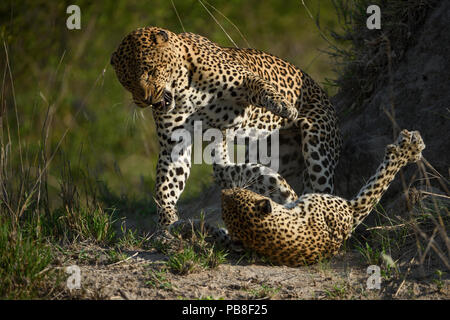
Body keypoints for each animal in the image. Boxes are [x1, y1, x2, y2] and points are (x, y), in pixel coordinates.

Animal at [110, 26, 342, 232]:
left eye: (150, 70)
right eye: (127, 81)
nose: (145, 100)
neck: (182, 90)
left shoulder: (243, 80)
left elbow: (260, 86)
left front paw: (282, 105)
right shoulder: (175, 146)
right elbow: (167, 186)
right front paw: (166, 221)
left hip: (318, 148)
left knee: (323, 190)